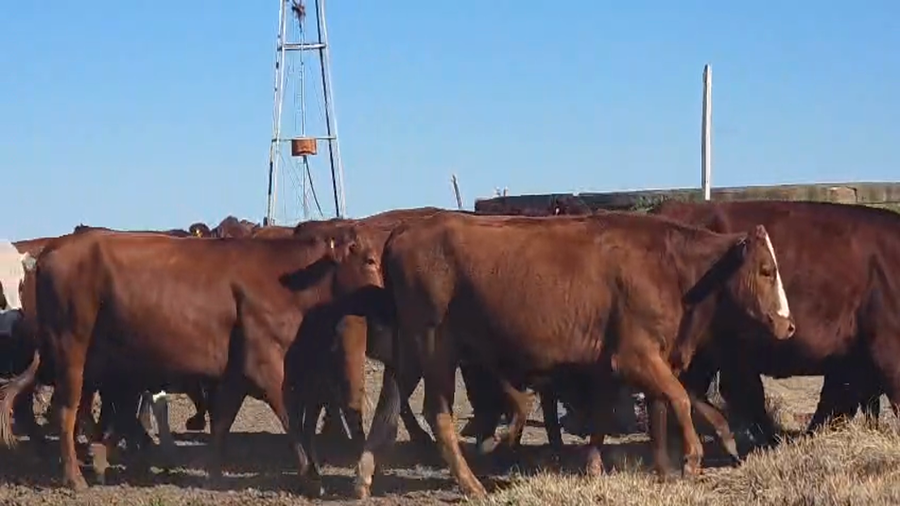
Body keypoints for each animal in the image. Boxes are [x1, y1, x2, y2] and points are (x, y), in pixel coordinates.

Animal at [0, 228, 382, 496]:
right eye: (369, 261)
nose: (384, 299)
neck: (287, 282)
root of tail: (53, 249)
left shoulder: (236, 372)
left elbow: (223, 419)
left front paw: (212, 471)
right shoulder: (266, 365)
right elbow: (292, 421)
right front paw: (310, 477)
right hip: (72, 350)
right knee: (66, 410)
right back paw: (75, 476)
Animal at [352, 210, 795, 498]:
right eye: (765, 270)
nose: (788, 326)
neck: (670, 267)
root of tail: (403, 231)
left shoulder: (615, 363)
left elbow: (623, 411)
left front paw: (606, 466)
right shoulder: (635, 355)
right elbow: (679, 398)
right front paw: (690, 460)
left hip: (408, 354)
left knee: (387, 408)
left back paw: (363, 479)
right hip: (435, 349)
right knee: (437, 413)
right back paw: (472, 484)